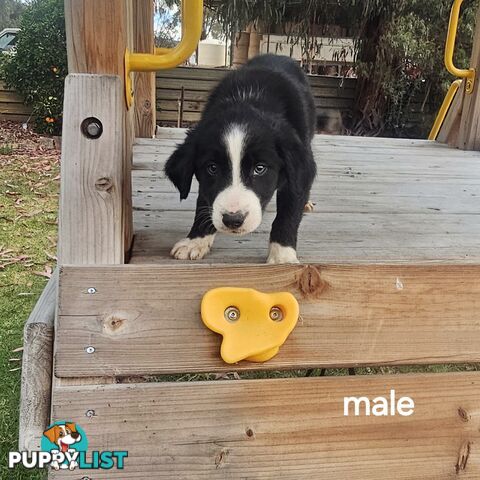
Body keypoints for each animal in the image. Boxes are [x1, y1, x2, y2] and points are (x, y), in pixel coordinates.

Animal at [163, 54, 316, 264]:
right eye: (212, 168)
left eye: (260, 168)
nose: (233, 220)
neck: (248, 100)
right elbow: (203, 200)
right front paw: (196, 240)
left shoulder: (298, 167)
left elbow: (289, 210)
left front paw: (282, 256)